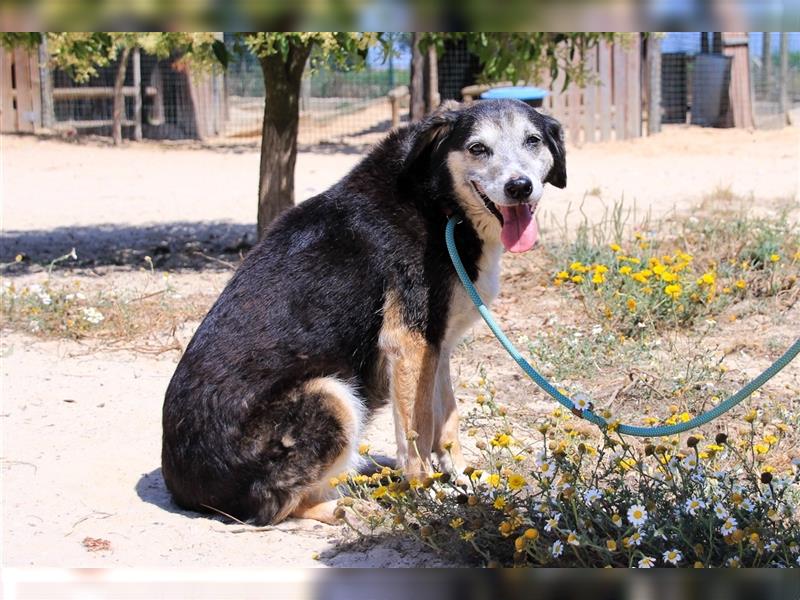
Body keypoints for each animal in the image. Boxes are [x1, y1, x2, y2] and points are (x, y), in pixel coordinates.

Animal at [161, 99, 564, 524]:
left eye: (533, 140)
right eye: (477, 148)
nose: (519, 187)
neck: (439, 201)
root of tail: (188, 493)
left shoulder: (437, 345)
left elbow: (447, 420)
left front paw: (464, 479)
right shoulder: (409, 342)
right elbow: (418, 432)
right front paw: (426, 495)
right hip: (331, 395)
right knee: (281, 505)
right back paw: (351, 505)